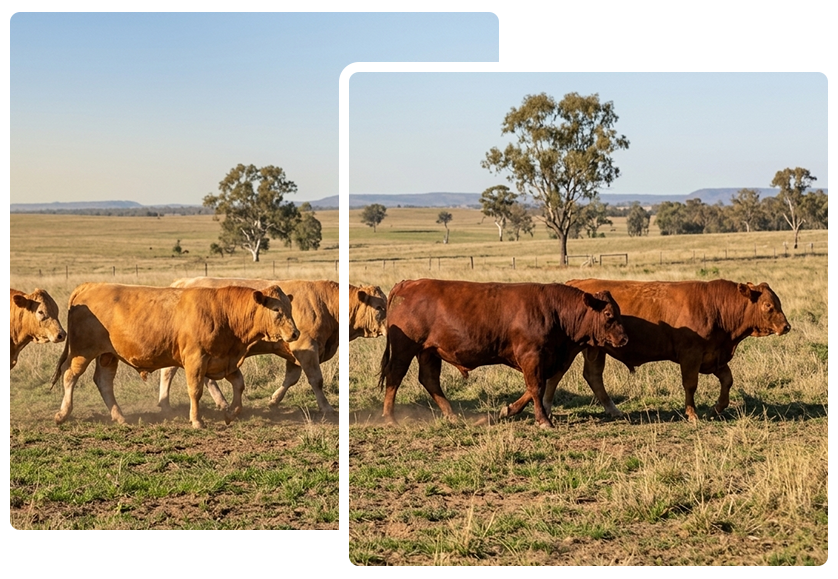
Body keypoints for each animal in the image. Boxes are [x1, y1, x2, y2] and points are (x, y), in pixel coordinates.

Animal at [51, 282, 298, 428]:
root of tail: (90, 286)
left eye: (290, 308)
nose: (295, 333)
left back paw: (119, 416)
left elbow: (239, 384)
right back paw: (63, 414)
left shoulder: (224, 359)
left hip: (107, 355)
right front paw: (197, 420)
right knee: (70, 376)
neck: (223, 312)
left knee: (103, 382)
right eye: (277, 310)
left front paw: (231, 413)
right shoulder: (196, 359)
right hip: (82, 352)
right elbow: (196, 390)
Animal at [158, 278, 387, 415]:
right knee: (169, 371)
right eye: (379, 307)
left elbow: (291, 379)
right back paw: (165, 402)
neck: (326, 305)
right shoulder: (306, 347)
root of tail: (182, 282)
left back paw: (220, 402)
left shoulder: (294, 352)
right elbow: (316, 380)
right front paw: (327, 407)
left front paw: (274, 401)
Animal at [378, 279, 628, 428]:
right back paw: (390, 417)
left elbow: (535, 387)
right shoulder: (531, 355)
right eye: (608, 314)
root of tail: (407, 284)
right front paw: (543, 421)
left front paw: (508, 410)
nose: (624, 338)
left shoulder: (545, 360)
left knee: (429, 379)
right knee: (395, 376)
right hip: (404, 350)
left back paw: (452, 416)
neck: (554, 311)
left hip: (429, 352)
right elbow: (536, 387)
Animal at [553, 278, 791, 421]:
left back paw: (613, 410)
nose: (786, 327)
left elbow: (727, 380)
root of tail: (574, 282)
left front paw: (717, 408)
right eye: (768, 305)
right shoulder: (690, 355)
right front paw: (692, 413)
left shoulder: (714, 357)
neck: (715, 307)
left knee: (593, 376)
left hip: (596, 350)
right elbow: (690, 385)